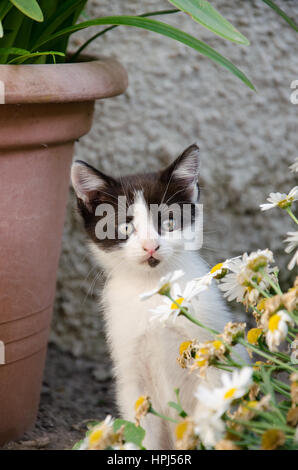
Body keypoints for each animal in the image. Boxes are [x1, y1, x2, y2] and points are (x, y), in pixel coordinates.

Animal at [71, 145, 242, 450]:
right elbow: (142, 431)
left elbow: (207, 408)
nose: (151, 246)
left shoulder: (211, 354)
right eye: (126, 228)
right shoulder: (131, 373)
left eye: (170, 222)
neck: (153, 288)